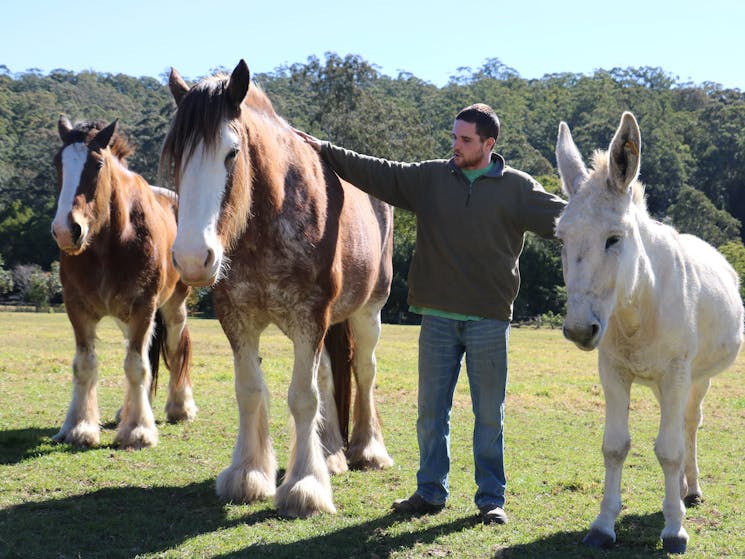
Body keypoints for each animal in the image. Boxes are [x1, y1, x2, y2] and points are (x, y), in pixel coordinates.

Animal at [52, 117, 198, 450]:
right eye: (57, 164)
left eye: (97, 164)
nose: (66, 230)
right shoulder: (77, 308)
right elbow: (85, 364)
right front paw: (79, 427)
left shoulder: (144, 307)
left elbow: (136, 365)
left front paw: (137, 431)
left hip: (173, 306)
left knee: (175, 346)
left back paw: (179, 406)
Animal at [161, 59, 396, 520]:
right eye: (178, 155)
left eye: (232, 152)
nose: (194, 258)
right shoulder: (238, 319)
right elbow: (251, 392)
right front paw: (249, 474)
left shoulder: (310, 317)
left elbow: (302, 397)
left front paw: (305, 487)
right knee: (328, 376)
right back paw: (331, 453)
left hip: (367, 313)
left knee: (364, 370)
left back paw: (367, 449)